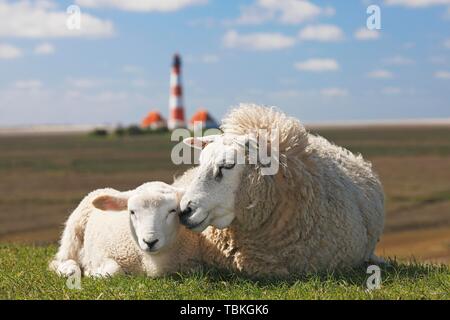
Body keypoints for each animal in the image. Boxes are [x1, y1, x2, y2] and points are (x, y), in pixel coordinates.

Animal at [48, 182, 200, 278]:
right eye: (132, 212)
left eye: (172, 210)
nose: (150, 242)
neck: (150, 261)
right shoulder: (101, 254)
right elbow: (114, 271)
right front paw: (91, 272)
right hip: (73, 234)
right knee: (61, 260)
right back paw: (69, 269)